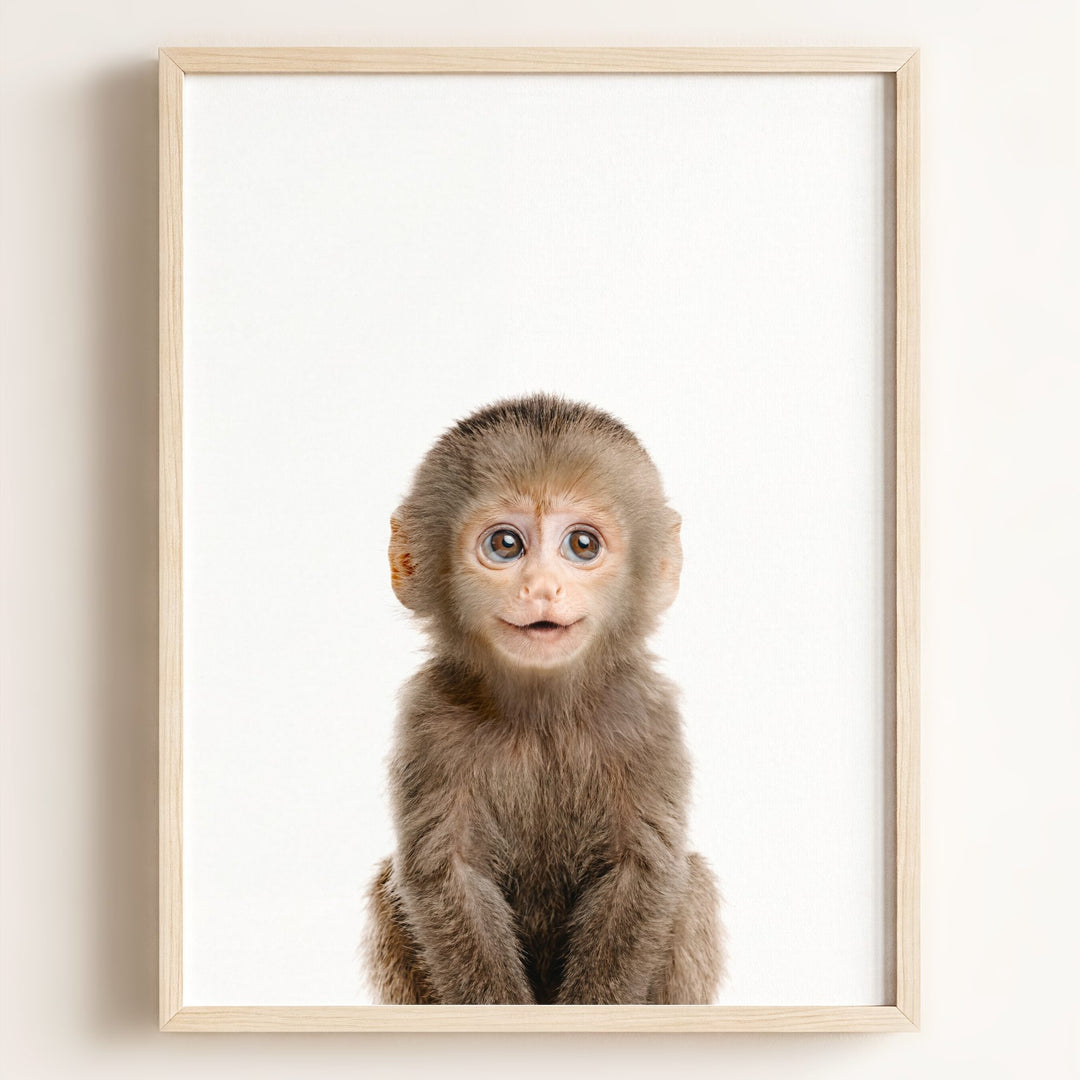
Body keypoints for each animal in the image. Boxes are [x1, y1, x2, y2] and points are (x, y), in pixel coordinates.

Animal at [365, 394, 723, 1005]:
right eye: (505, 545)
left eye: (582, 544)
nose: (542, 588)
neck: (542, 714)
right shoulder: (430, 717)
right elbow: (446, 873)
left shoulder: (646, 715)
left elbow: (643, 870)